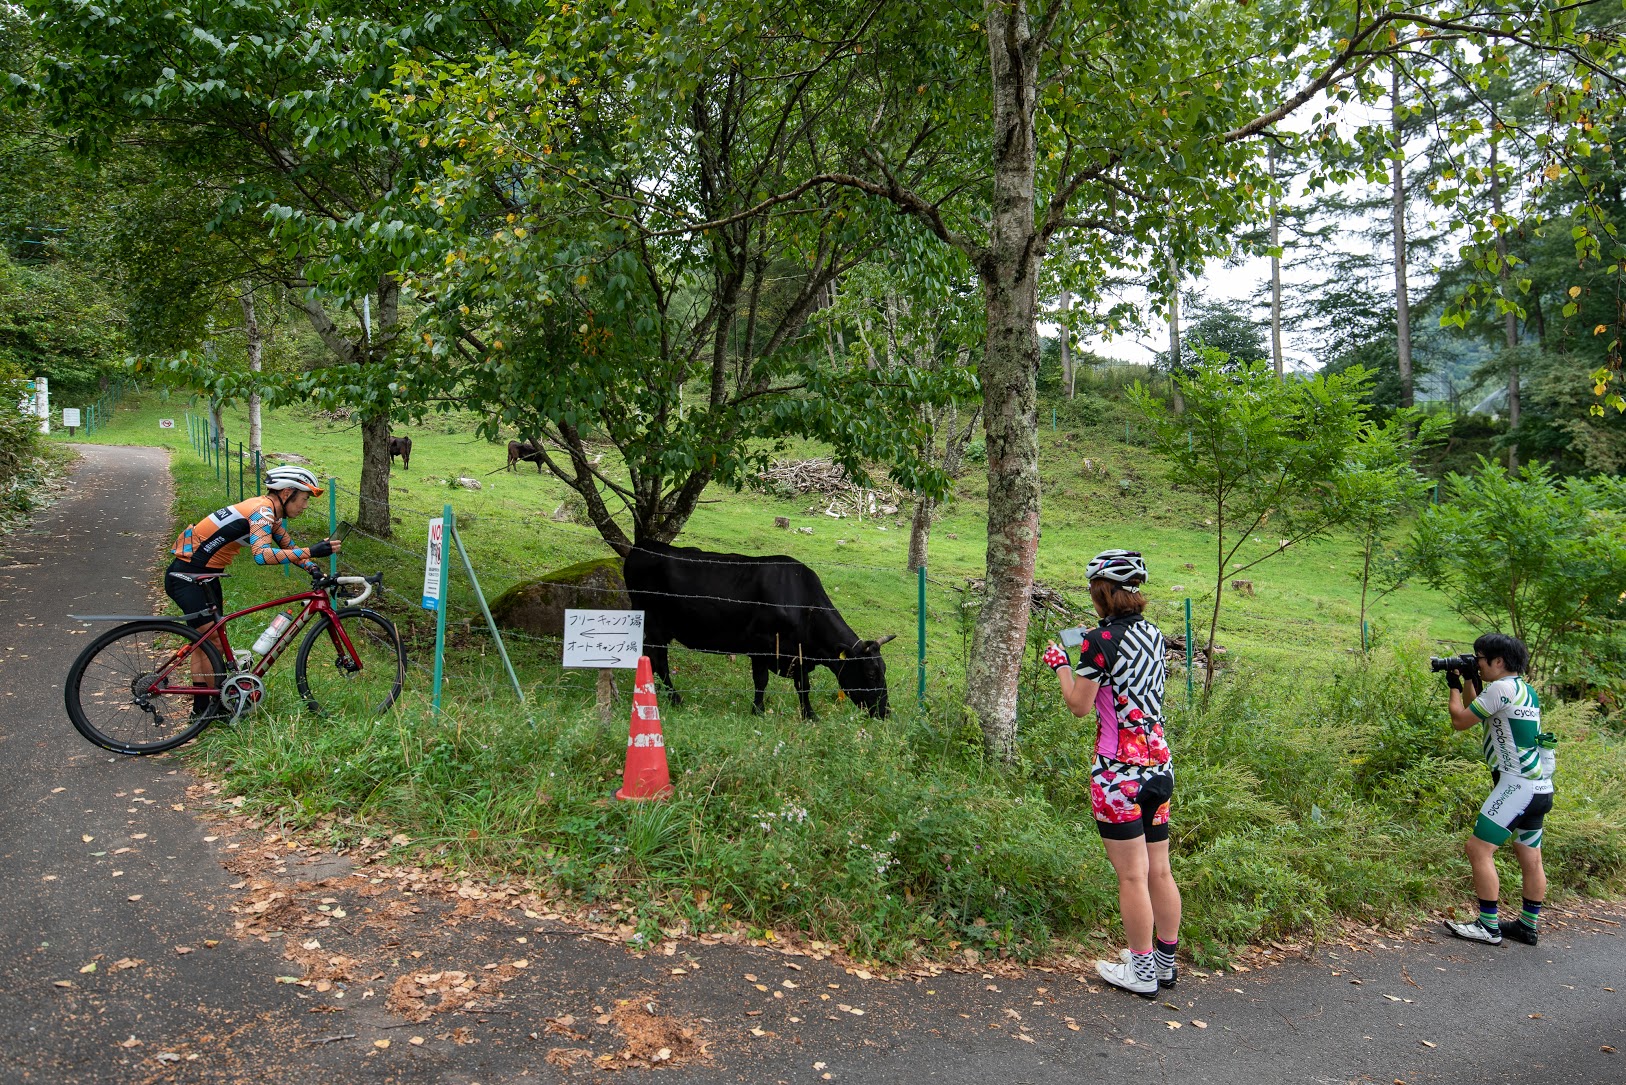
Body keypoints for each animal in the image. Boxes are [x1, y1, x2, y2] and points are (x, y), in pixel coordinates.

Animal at [624, 540, 904, 722]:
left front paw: (810, 715)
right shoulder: (760, 646)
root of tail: (643, 546)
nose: (885, 712)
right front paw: (757, 711)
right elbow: (761, 681)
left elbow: (803, 686)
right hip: (653, 625)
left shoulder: (798, 655)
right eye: (870, 673)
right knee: (659, 661)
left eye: (883, 670)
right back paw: (674, 699)